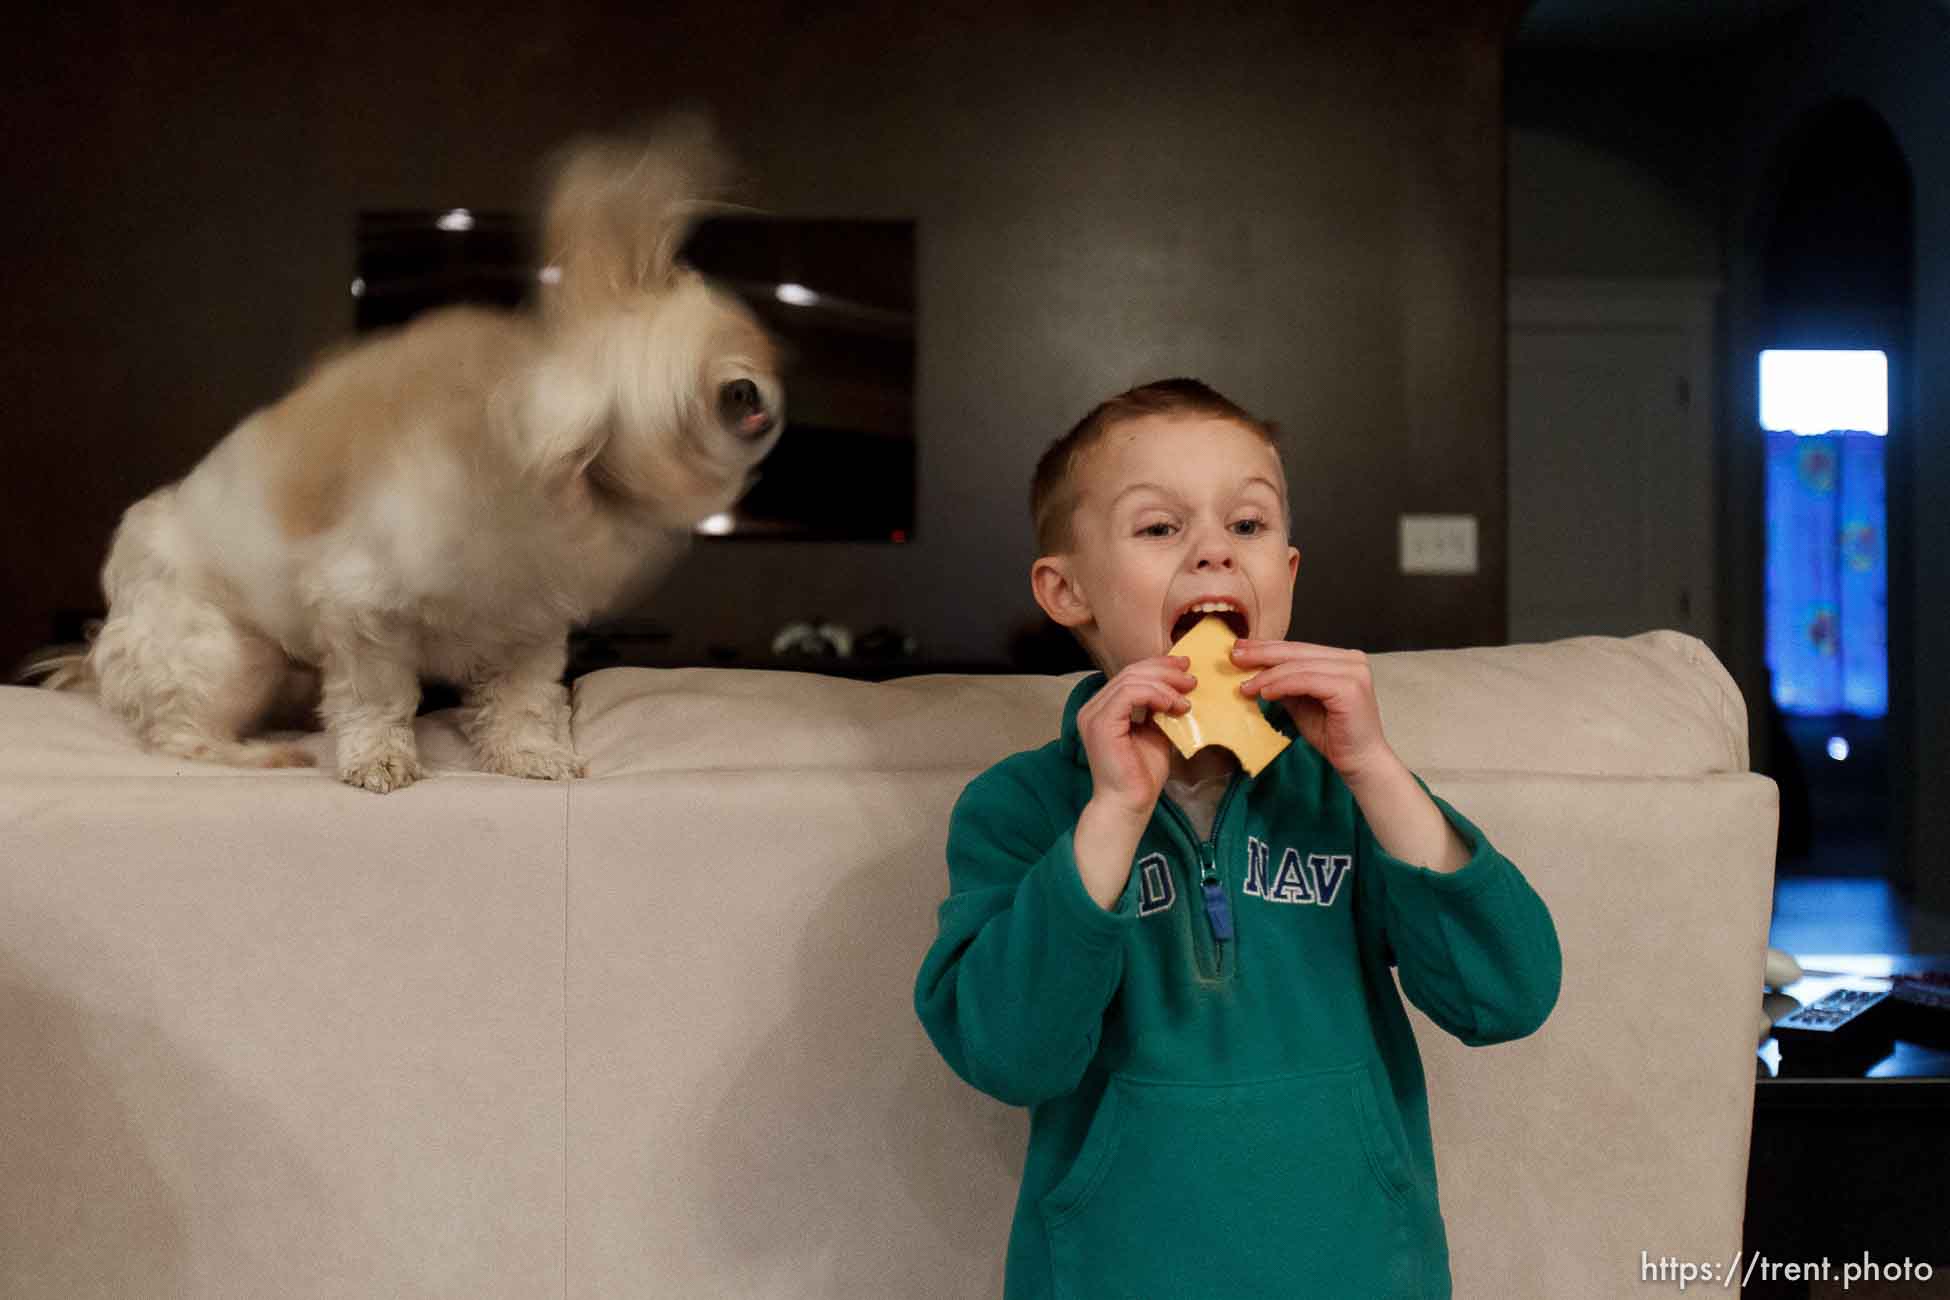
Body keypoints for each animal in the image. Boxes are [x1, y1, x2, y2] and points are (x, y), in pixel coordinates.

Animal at [26, 121, 780, 795]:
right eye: (696, 402)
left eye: (743, 348)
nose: (751, 393)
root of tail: (101, 644)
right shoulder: (362, 614)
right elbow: (378, 699)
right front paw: (380, 761)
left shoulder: (530, 630)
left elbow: (522, 702)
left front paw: (532, 756)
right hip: (231, 655)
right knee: (178, 734)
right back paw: (258, 755)